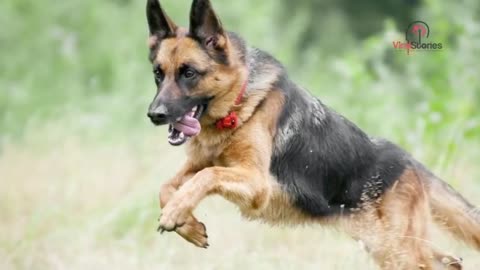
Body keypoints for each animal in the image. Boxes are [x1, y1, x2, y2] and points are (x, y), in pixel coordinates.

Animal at [145, 0, 480, 268]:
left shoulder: (255, 183)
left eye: (189, 73)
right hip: (385, 245)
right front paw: (186, 222)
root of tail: (410, 162)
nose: (154, 115)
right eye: (158, 74)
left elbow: (207, 176)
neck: (239, 105)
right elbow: (167, 186)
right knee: (449, 260)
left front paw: (176, 213)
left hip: (397, 248)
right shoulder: (198, 167)